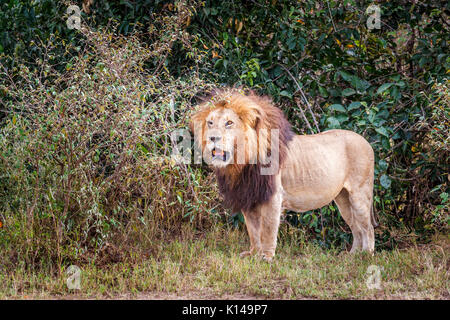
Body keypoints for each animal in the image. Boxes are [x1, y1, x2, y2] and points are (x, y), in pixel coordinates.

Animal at [190, 89, 376, 262]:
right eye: (210, 122)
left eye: (229, 123)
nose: (212, 137)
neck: (241, 163)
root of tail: (366, 141)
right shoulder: (249, 196)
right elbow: (253, 231)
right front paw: (253, 254)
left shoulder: (273, 197)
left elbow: (267, 229)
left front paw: (266, 257)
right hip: (343, 198)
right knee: (356, 227)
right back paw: (352, 255)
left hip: (359, 194)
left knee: (367, 228)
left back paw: (367, 255)